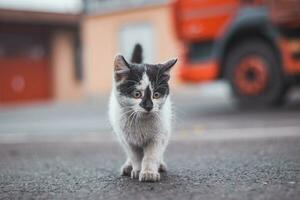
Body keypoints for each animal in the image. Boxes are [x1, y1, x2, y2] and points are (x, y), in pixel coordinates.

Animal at [109, 44, 177, 182]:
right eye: (137, 94)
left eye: (156, 95)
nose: (148, 106)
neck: (141, 121)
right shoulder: (127, 139)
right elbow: (135, 156)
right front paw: (137, 170)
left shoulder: (159, 136)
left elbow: (152, 155)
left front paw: (149, 172)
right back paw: (128, 166)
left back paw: (160, 164)